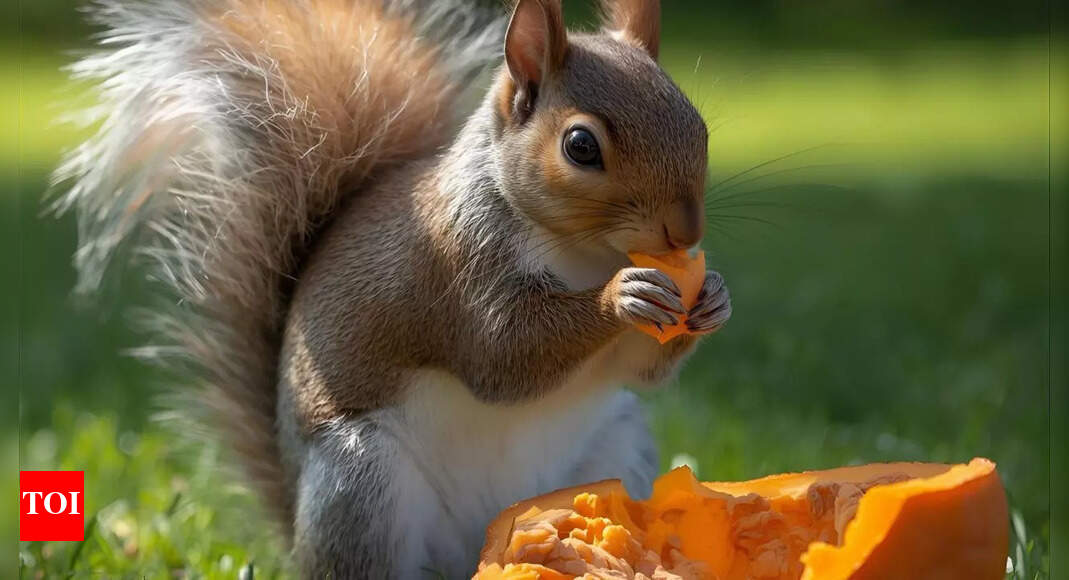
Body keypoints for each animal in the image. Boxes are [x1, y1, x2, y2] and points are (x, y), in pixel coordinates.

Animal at [57, 0, 731, 576]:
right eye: (581, 146)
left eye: (699, 126)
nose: (686, 231)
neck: (585, 253)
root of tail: (481, 545)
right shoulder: (459, 266)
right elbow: (505, 357)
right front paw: (622, 297)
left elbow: (640, 370)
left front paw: (713, 297)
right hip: (362, 485)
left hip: (618, 452)